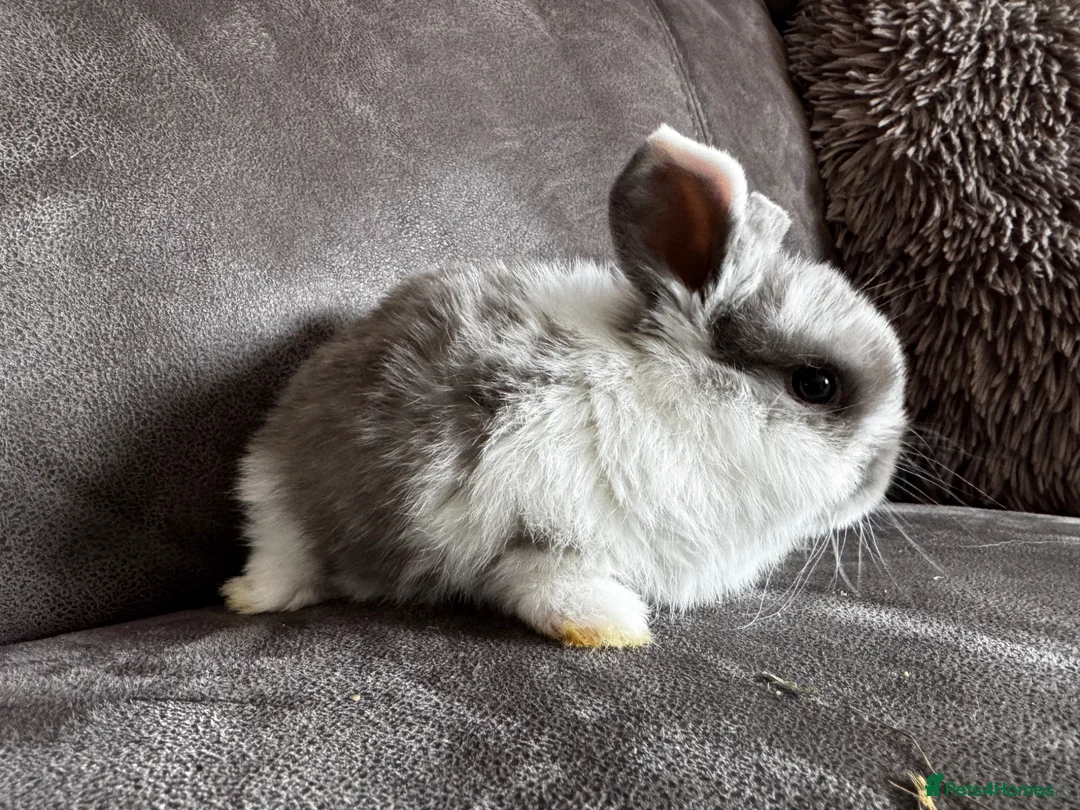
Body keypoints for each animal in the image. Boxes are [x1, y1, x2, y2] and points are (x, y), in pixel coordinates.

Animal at [221, 125, 908, 648]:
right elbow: (550, 583)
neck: (677, 404)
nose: (876, 486)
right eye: (815, 384)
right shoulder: (534, 525)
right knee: (282, 551)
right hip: (283, 496)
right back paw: (247, 597)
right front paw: (616, 630)